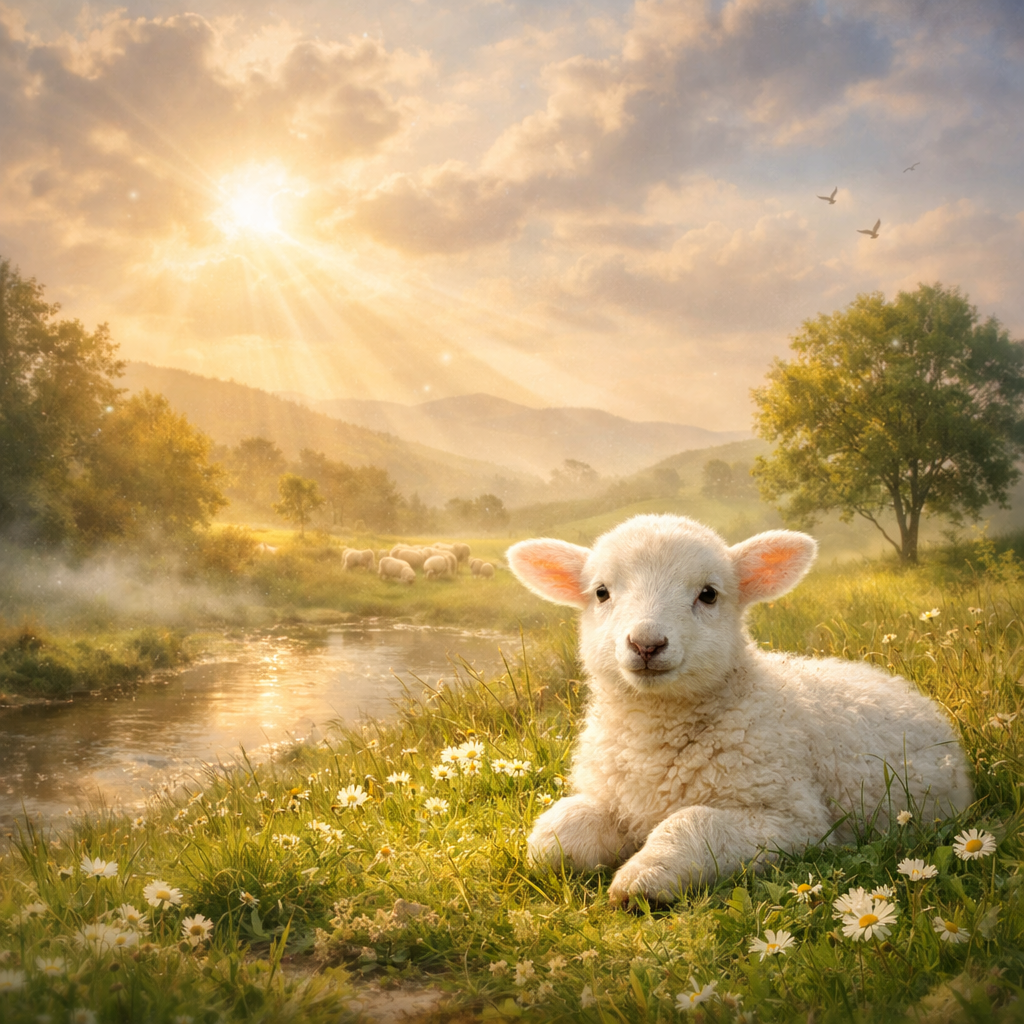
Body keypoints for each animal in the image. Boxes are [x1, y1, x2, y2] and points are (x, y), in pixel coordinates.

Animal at [506, 514, 973, 905]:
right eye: (601, 592)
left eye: (708, 594)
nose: (646, 644)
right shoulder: (612, 798)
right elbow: (553, 838)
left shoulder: (794, 820)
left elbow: (692, 823)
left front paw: (642, 880)